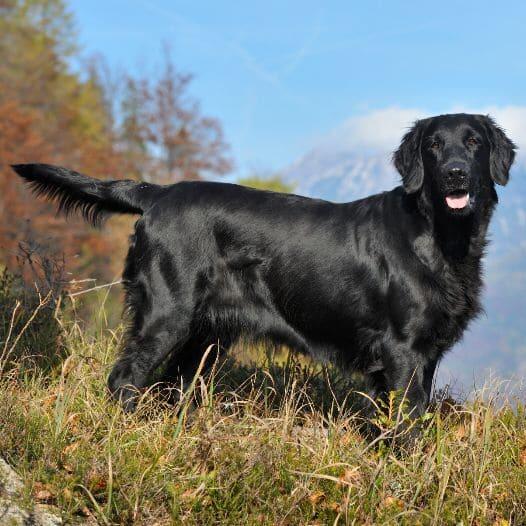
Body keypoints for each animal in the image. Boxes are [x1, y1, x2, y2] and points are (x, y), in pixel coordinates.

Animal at [11, 113, 516, 418]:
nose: (454, 173)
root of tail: (158, 193)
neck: (441, 237)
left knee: (169, 385)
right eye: (434, 146)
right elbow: (406, 426)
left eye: (473, 142)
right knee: (124, 379)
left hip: (204, 337)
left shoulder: (426, 354)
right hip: (166, 315)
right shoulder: (403, 350)